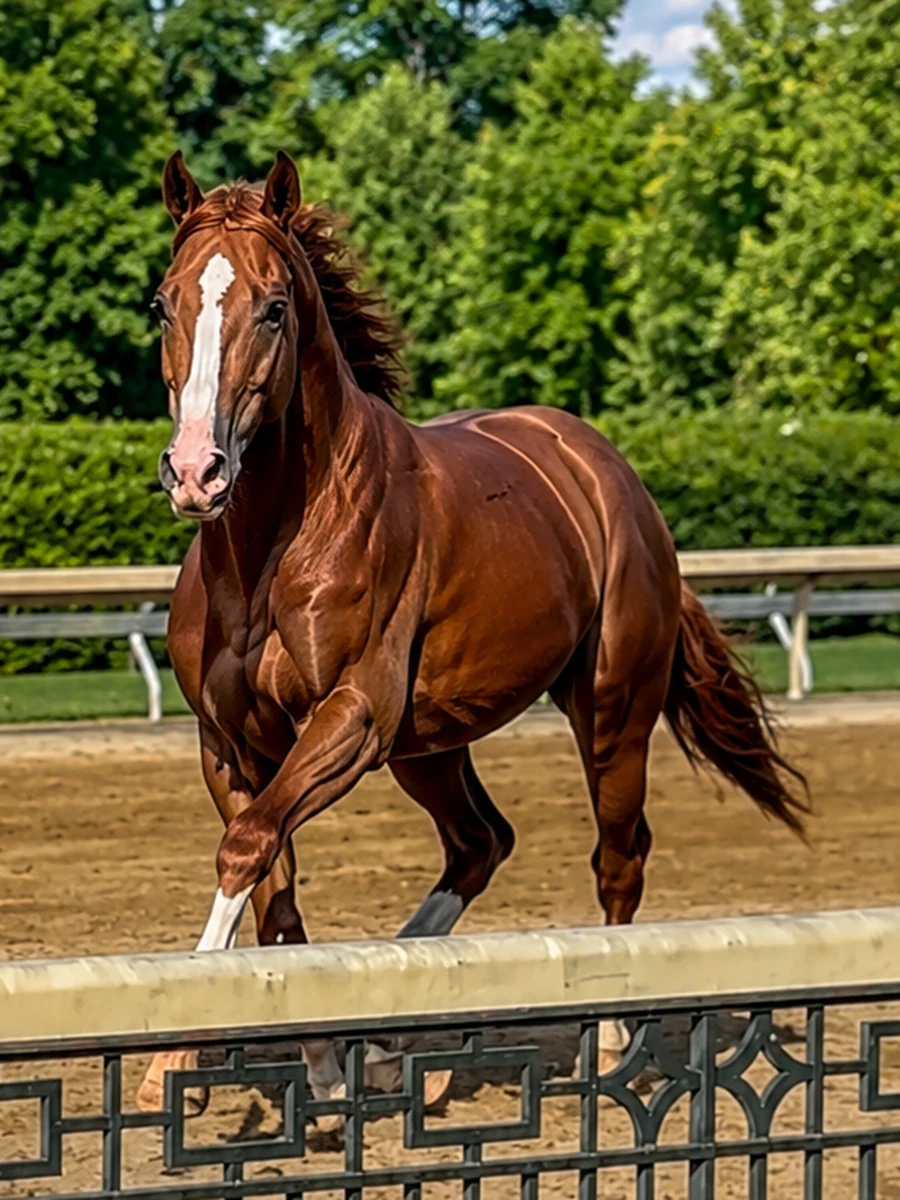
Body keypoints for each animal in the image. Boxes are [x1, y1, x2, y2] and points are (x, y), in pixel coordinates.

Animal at [137, 150, 807, 1116]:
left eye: (274, 307)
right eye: (164, 302)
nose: (196, 471)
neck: (272, 548)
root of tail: (606, 471)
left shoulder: (350, 720)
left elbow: (246, 851)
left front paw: (164, 1064)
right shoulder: (227, 744)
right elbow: (275, 887)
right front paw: (326, 1067)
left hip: (611, 715)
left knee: (618, 857)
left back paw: (610, 1043)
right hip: (431, 747)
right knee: (481, 842)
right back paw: (387, 1040)